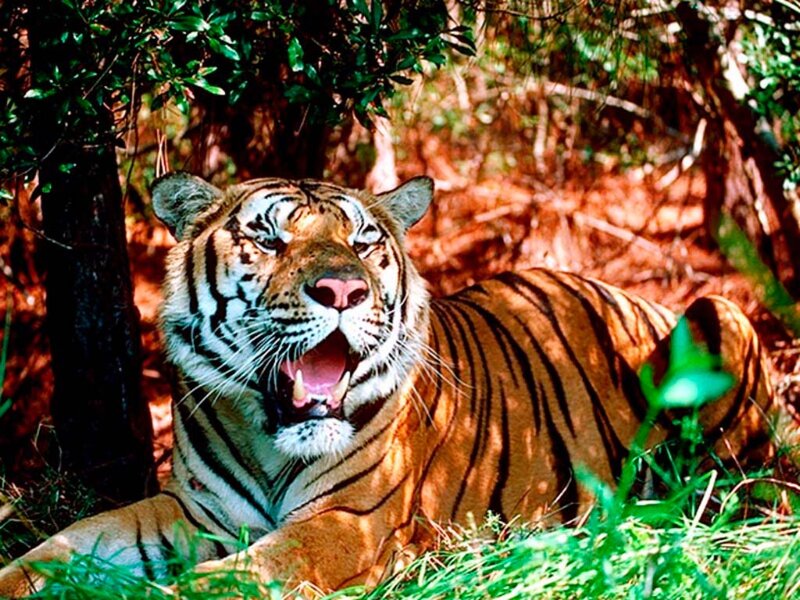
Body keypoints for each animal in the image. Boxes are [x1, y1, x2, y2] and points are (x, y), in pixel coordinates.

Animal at [0, 174, 777, 596]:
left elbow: (251, 572)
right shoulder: (192, 513)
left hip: (721, 314)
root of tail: (626, 292)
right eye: (269, 239)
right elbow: (65, 545)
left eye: (365, 242)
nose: (342, 289)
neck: (269, 436)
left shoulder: (350, 522)